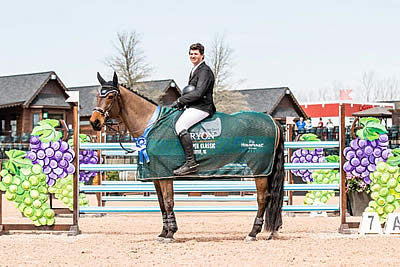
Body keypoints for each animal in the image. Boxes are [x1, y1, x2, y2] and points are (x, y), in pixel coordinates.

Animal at [90, 73, 284, 243]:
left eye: (110, 96)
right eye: (98, 96)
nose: (94, 122)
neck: (152, 125)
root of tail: (272, 120)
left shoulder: (165, 175)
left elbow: (168, 201)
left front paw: (170, 234)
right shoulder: (157, 176)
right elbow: (161, 203)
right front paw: (163, 232)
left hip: (260, 170)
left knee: (263, 198)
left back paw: (252, 233)